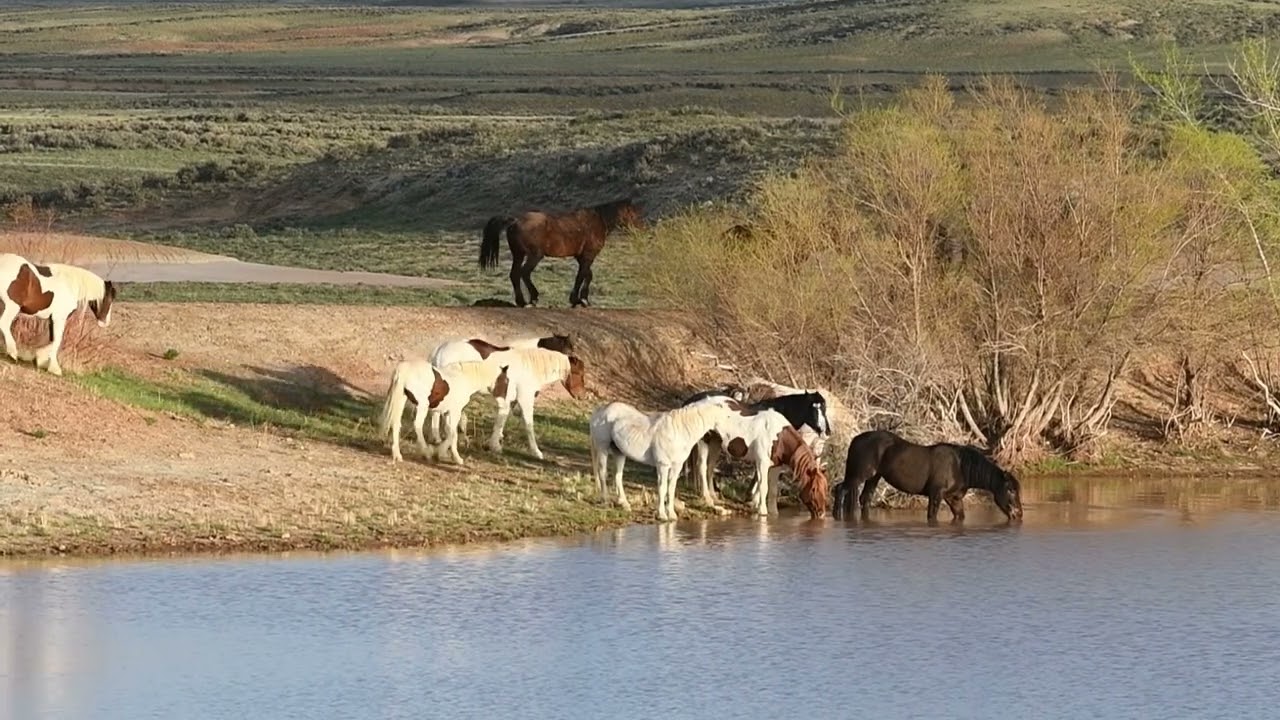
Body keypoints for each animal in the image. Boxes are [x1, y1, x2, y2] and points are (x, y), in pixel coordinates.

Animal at [378, 358, 509, 466]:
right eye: (506, 381)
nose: (505, 402)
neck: (464, 378)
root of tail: (402, 370)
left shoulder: (447, 413)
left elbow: (449, 431)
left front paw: (443, 453)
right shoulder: (455, 411)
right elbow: (453, 433)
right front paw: (451, 456)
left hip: (401, 400)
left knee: (396, 424)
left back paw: (397, 455)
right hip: (422, 406)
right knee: (417, 425)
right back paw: (426, 452)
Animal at [479, 198, 645, 308]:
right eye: (634, 215)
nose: (642, 231)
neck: (599, 221)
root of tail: (515, 221)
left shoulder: (581, 257)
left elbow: (587, 275)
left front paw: (581, 299)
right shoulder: (588, 256)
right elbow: (581, 276)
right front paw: (579, 299)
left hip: (518, 255)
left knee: (514, 274)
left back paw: (521, 302)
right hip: (534, 255)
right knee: (524, 273)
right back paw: (533, 298)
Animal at [588, 399, 741, 522]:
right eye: (728, 416)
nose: (731, 439)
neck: (679, 431)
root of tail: (600, 410)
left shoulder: (676, 466)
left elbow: (671, 488)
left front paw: (671, 515)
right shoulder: (663, 465)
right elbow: (662, 488)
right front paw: (661, 515)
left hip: (619, 453)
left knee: (618, 476)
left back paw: (624, 504)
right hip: (602, 448)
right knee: (602, 473)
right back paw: (606, 501)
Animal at [683, 395, 830, 519]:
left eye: (825, 488)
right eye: (813, 489)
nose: (821, 513)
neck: (778, 436)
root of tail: (696, 403)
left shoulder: (775, 467)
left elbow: (773, 490)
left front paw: (773, 513)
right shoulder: (762, 463)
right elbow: (763, 486)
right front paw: (761, 510)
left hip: (715, 443)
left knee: (710, 467)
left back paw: (714, 497)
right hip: (704, 441)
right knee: (701, 467)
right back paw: (707, 499)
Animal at [831, 430, 1024, 524]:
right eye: (1010, 490)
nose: (1019, 514)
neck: (960, 466)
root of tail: (855, 439)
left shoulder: (954, 498)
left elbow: (960, 516)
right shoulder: (936, 494)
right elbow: (932, 516)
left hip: (874, 477)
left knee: (865, 499)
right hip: (859, 475)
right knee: (840, 489)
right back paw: (837, 516)